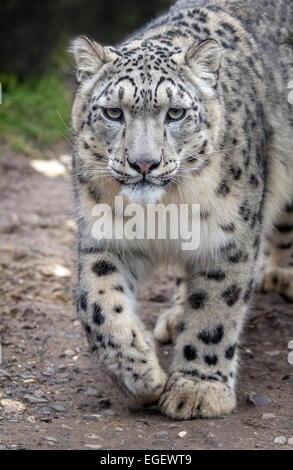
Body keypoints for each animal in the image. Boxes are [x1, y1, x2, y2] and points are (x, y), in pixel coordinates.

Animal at [70, 0, 292, 418]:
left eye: (175, 113)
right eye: (113, 113)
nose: (144, 163)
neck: (161, 211)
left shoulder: (229, 238)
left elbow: (215, 311)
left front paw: (197, 390)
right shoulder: (103, 236)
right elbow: (97, 303)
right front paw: (142, 375)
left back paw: (280, 275)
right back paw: (174, 317)